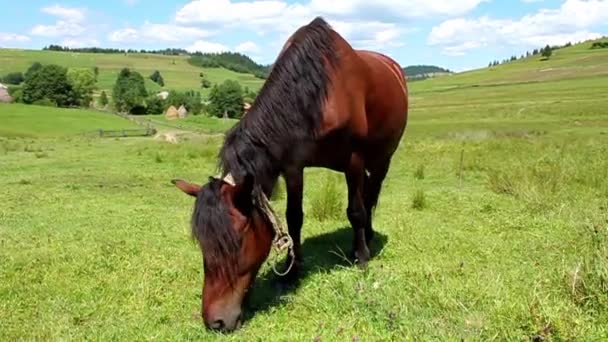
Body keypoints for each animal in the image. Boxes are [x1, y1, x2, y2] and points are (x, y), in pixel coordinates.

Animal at [171, 17, 408, 332]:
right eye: (203, 245)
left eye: (235, 244)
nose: (215, 322)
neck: (317, 93)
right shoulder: (293, 166)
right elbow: (295, 217)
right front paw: (292, 270)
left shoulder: (354, 160)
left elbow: (355, 210)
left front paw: (362, 259)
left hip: (383, 158)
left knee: (369, 198)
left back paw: (365, 240)